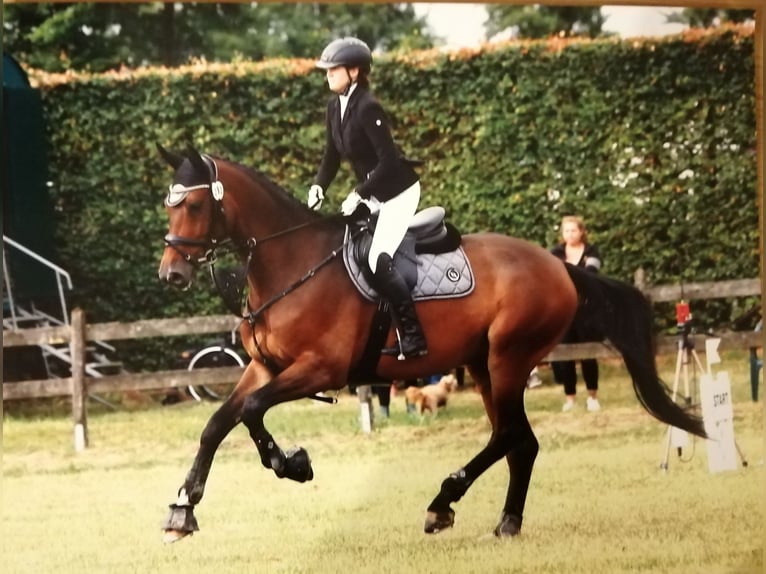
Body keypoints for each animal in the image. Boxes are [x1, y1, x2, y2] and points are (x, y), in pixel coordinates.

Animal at [156, 145, 706, 543]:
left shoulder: (319, 369)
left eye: (196, 205)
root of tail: (557, 265)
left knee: (509, 436)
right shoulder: (265, 367)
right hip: (484, 365)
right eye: (170, 205)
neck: (293, 264)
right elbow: (216, 424)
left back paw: (442, 504)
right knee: (520, 441)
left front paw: (291, 464)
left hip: (508, 359)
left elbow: (251, 411)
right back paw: (506, 522)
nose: (171, 274)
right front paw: (183, 508)